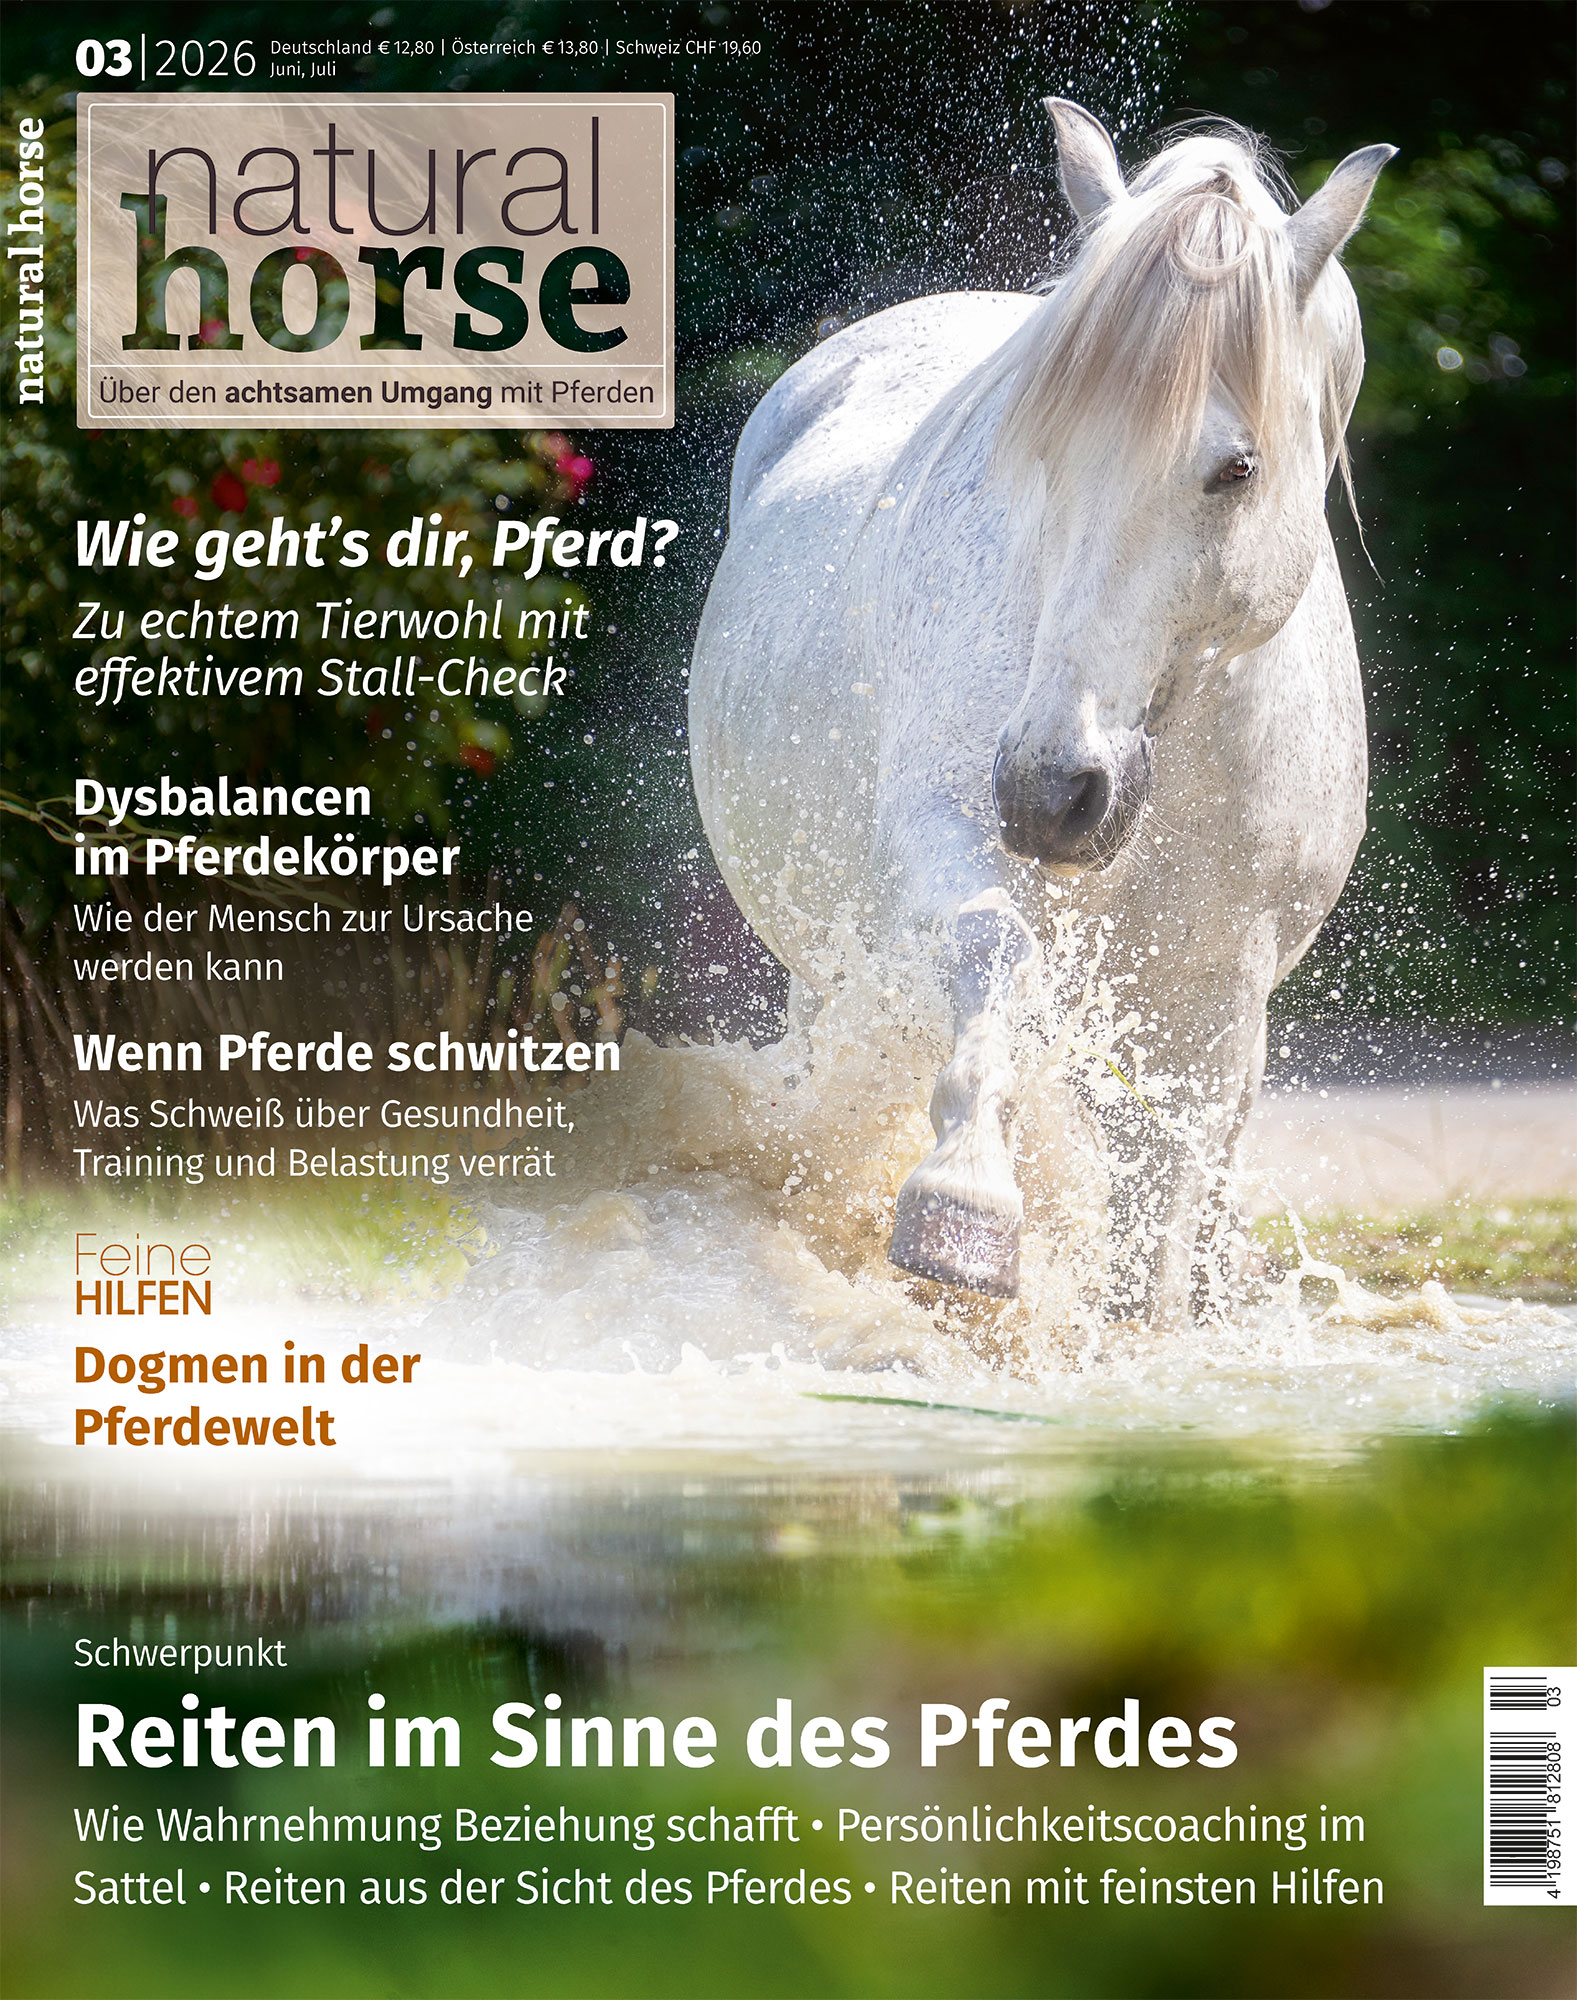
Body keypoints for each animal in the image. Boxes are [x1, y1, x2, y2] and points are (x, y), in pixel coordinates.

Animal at [688, 100, 1393, 1327]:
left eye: (1236, 468)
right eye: (1042, 451)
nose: (1052, 787)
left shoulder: (1216, 998)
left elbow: (1160, 1222)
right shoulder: (945, 835)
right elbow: (991, 948)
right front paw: (961, 1206)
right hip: (824, 965)